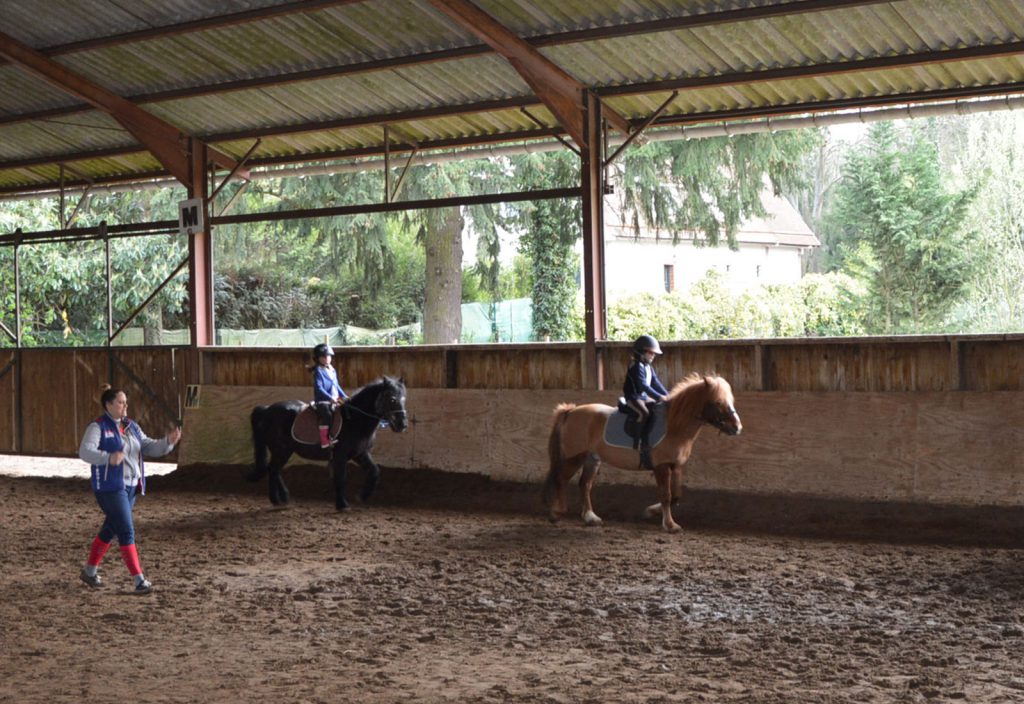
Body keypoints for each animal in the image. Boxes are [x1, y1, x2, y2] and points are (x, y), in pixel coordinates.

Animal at [247, 376, 407, 509]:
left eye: (404, 399)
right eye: (392, 399)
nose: (402, 425)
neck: (355, 420)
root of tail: (267, 409)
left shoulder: (361, 453)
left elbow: (374, 471)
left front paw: (362, 496)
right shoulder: (340, 455)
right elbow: (341, 478)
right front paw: (342, 505)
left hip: (284, 450)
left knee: (275, 470)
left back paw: (284, 497)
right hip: (281, 449)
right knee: (273, 469)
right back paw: (275, 499)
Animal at [544, 376, 745, 532]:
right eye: (718, 402)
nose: (737, 427)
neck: (674, 426)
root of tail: (571, 411)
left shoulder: (676, 465)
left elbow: (676, 495)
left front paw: (650, 512)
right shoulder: (661, 466)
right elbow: (666, 495)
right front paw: (670, 525)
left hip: (592, 459)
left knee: (584, 484)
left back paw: (590, 517)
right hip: (575, 457)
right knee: (560, 479)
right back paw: (556, 513)